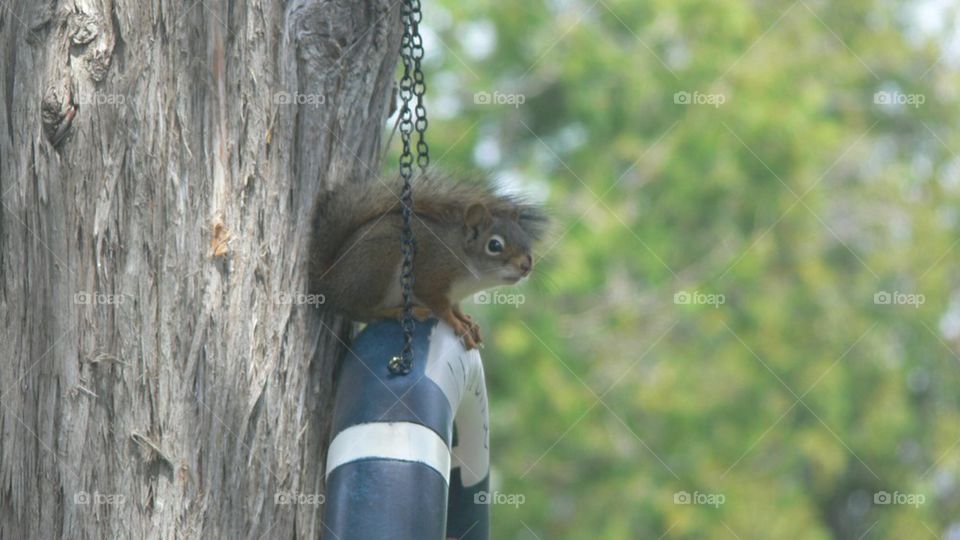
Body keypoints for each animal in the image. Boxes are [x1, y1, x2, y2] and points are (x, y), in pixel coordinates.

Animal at [309, 172, 547, 349]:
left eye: (524, 238)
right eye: (495, 246)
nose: (526, 266)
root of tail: (330, 280)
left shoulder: (454, 296)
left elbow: (455, 308)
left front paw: (467, 321)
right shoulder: (432, 275)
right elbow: (440, 307)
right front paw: (456, 324)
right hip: (377, 268)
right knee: (360, 310)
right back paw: (400, 311)